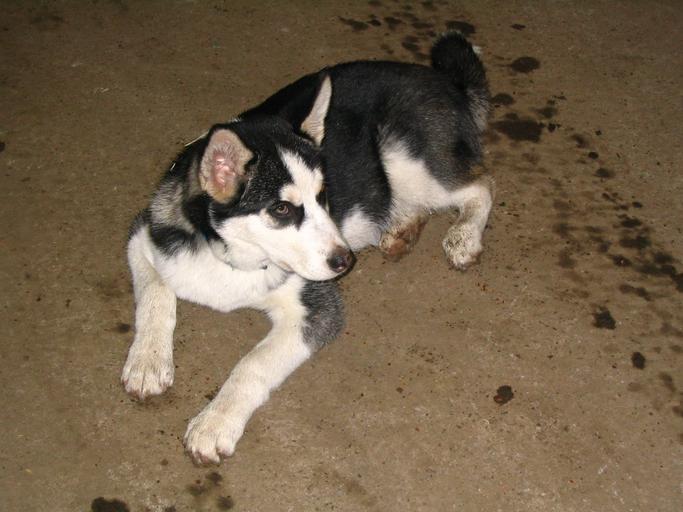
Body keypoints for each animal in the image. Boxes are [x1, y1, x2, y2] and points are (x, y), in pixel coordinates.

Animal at [122, 32, 492, 464]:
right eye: (282, 209)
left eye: (322, 196)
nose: (345, 261)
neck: (232, 256)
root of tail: (446, 83)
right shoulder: (146, 232)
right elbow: (155, 291)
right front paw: (148, 360)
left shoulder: (317, 311)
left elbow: (253, 363)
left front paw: (214, 422)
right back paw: (402, 228)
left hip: (407, 158)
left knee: (480, 186)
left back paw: (464, 236)